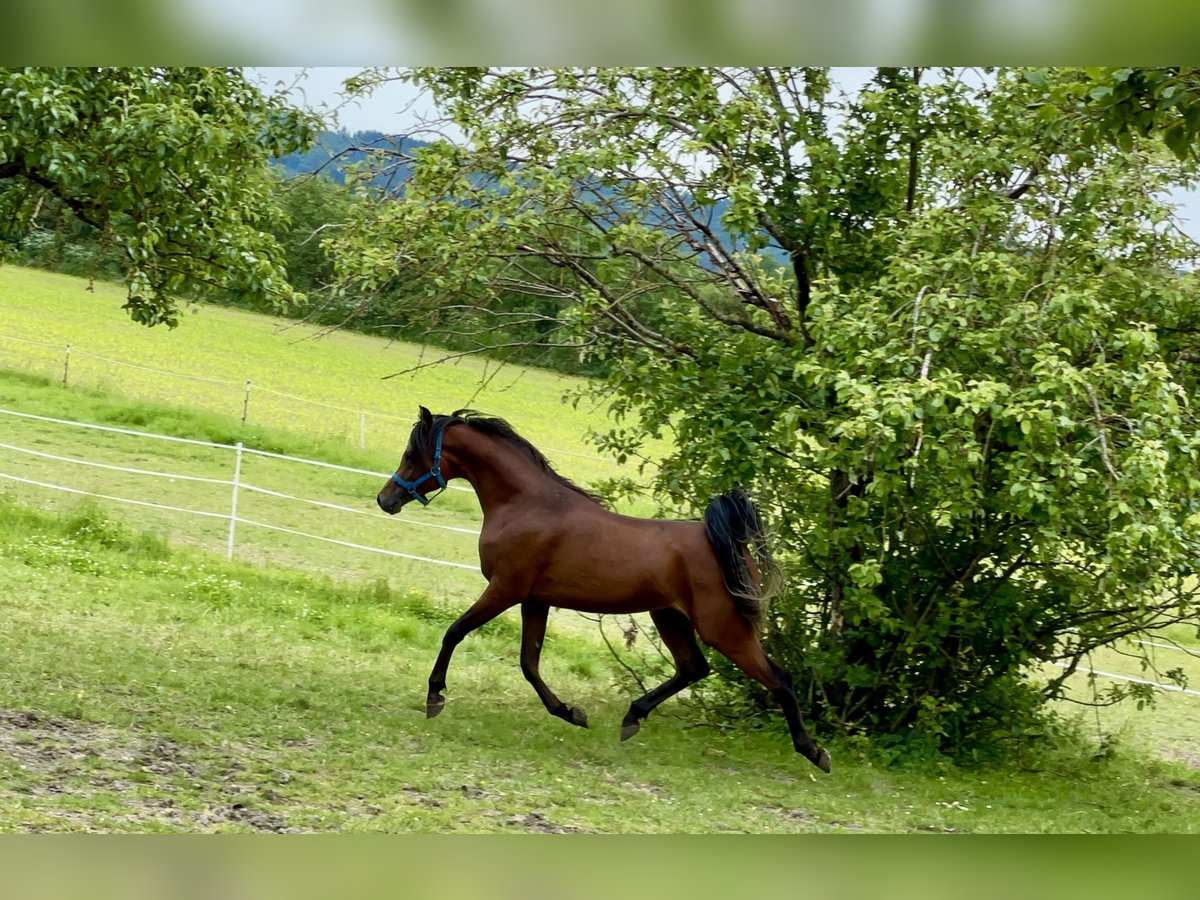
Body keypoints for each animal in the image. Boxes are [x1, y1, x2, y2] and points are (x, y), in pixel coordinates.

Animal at [379, 408, 830, 777]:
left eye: (411, 453)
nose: (386, 499)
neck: (527, 504)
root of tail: (725, 541)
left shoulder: (505, 590)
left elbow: (455, 632)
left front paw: (435, 696)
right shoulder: (535, 599)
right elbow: (529, 663)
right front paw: (571, 713)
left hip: (722, 627)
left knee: (777, 678)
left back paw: (814, 752)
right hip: (670, 616)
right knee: (693, 668)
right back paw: (631, 718)